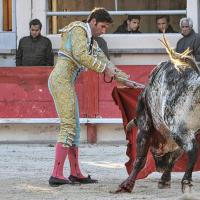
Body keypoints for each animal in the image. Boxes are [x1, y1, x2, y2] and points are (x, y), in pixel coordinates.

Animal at [115, 36, 200, 194]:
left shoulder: (145, 127)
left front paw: (127, 184)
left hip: (179, 129)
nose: (159, 167)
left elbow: (140, 158)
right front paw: (164, 180)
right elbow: (174, 157)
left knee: (192, 150)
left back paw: (186, 182)